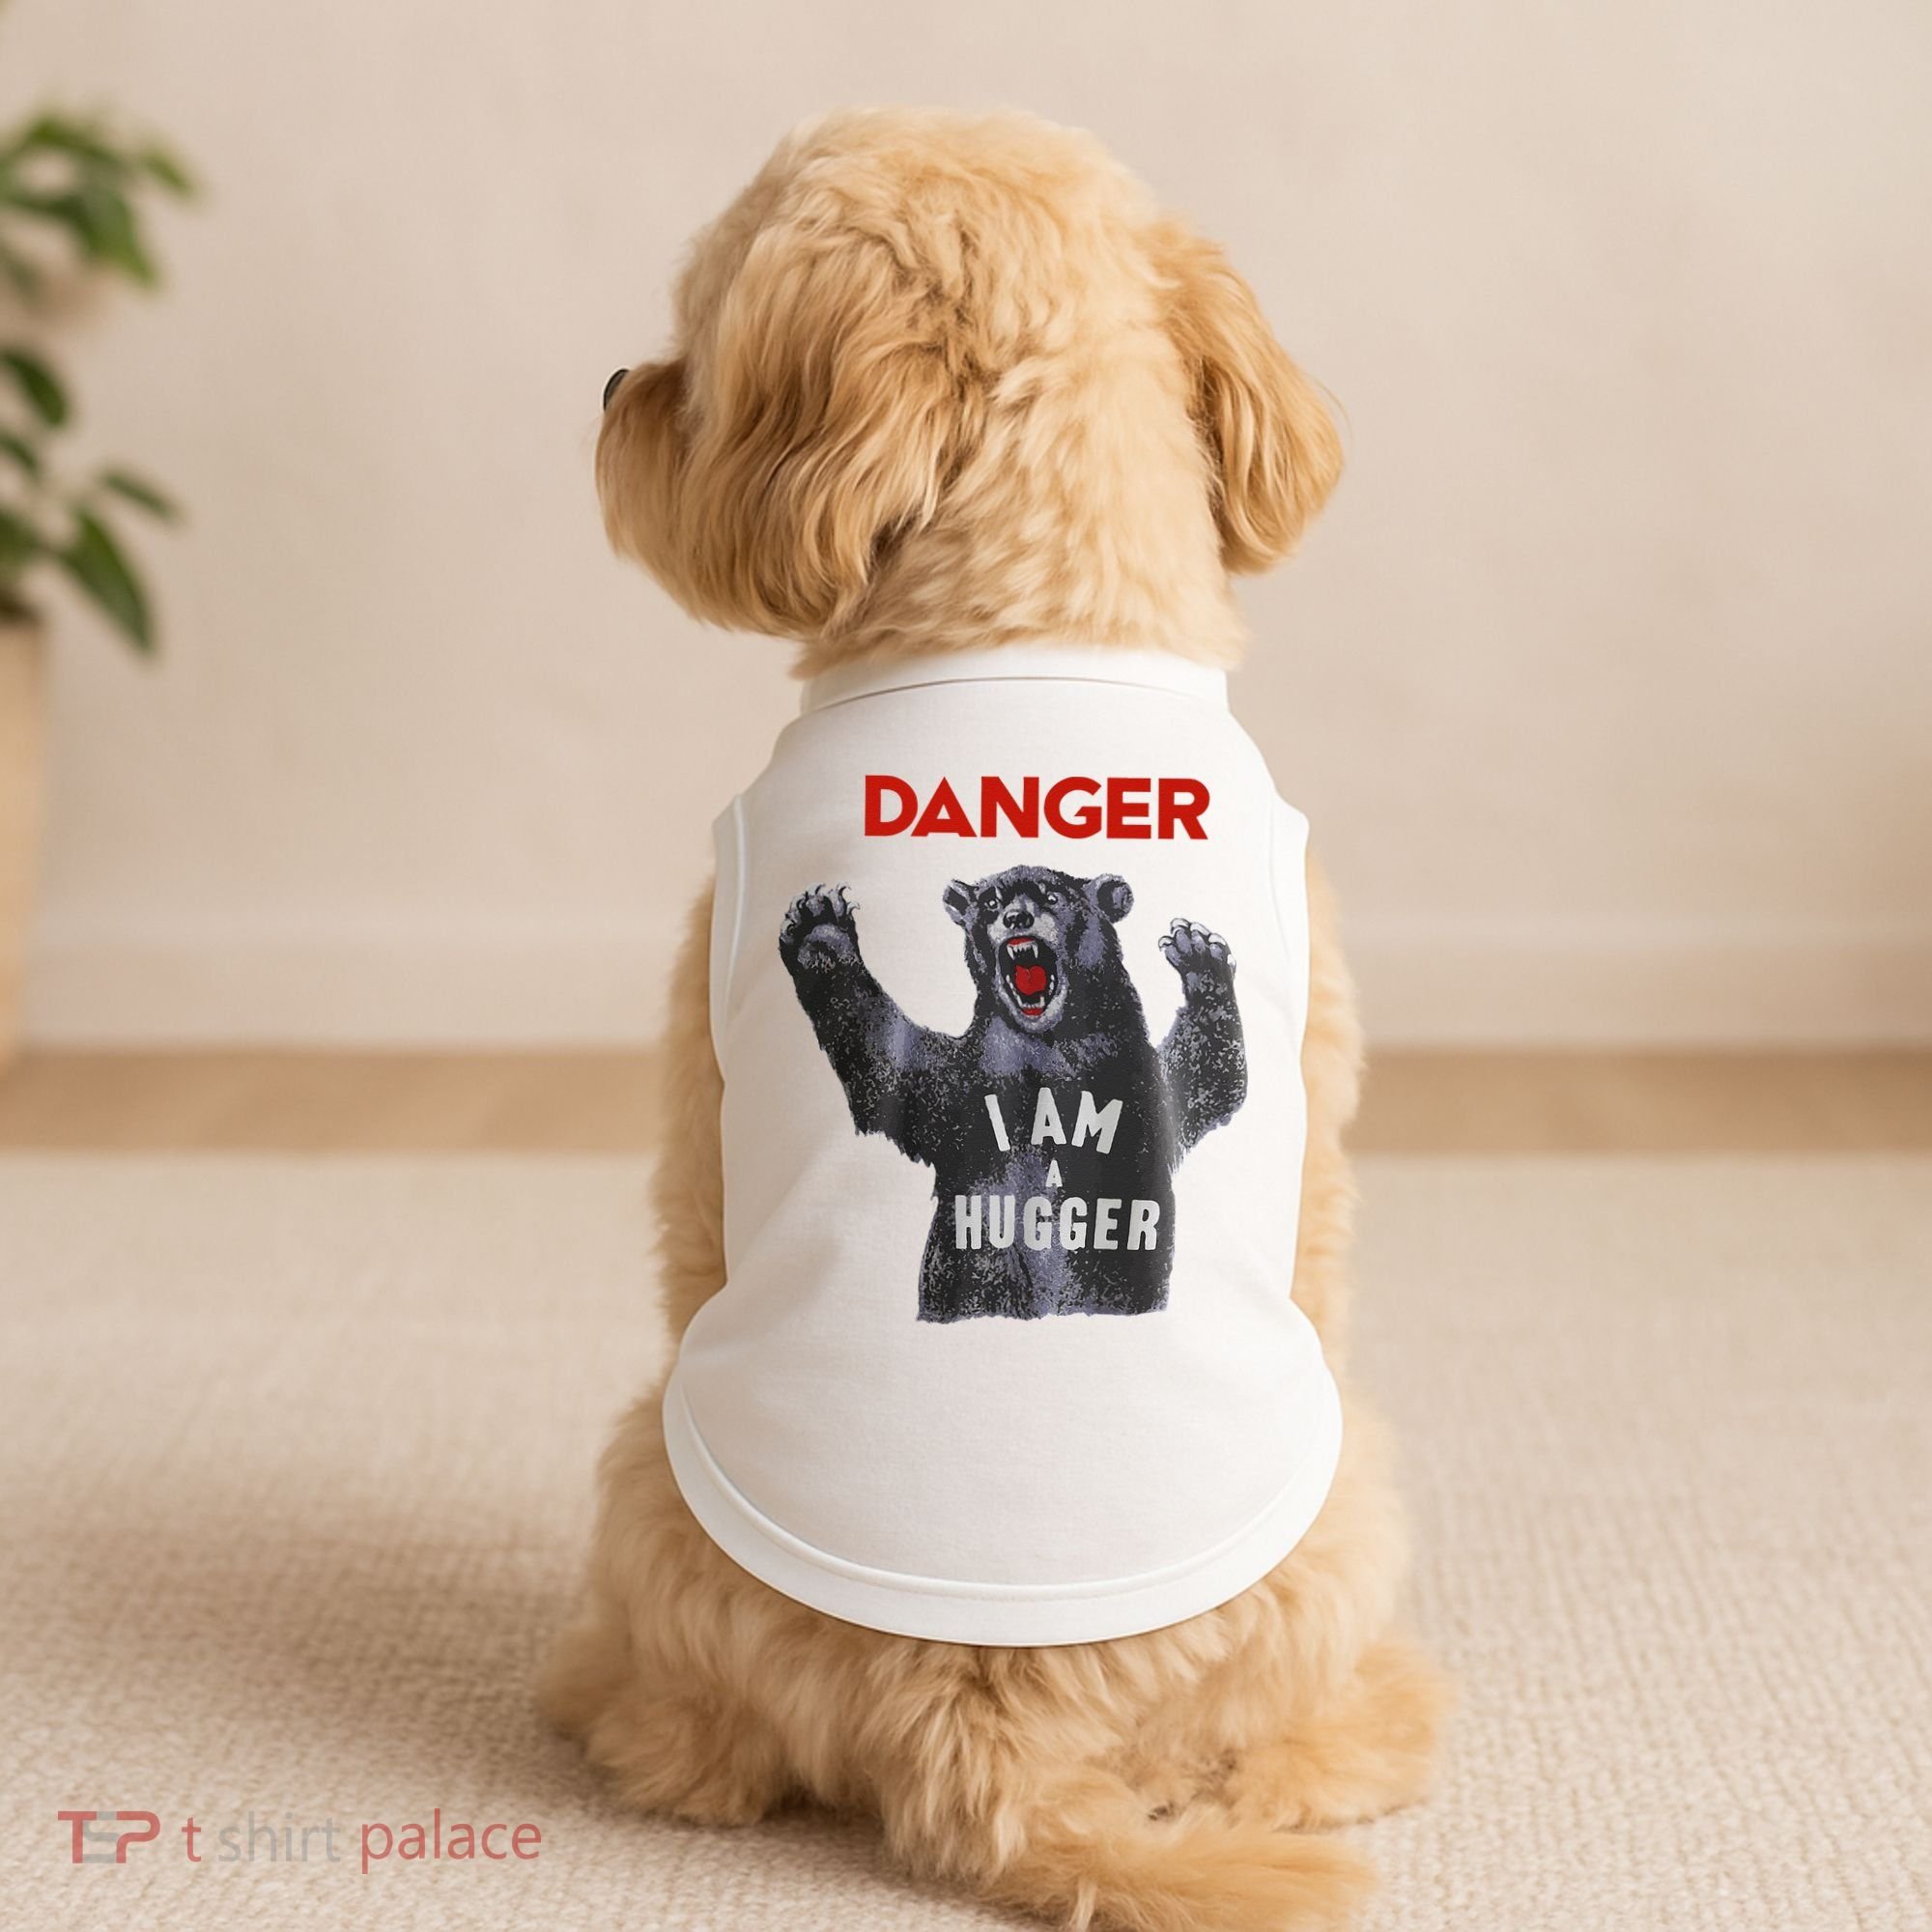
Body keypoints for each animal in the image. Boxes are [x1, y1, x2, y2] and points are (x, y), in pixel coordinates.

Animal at [778, 866, 1247, 1320]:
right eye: (991, 902)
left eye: (1053, 897)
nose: (1017, 917)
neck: (1049, 1050)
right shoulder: (963, 1088)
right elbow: (887, 1064)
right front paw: (819, 926)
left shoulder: (1135, 1084)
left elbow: (1205, 1077)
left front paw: (1199, 953)